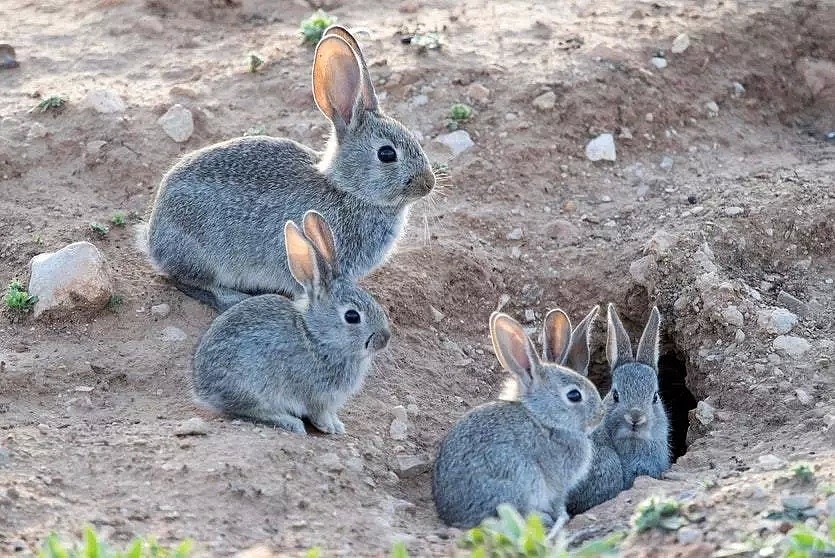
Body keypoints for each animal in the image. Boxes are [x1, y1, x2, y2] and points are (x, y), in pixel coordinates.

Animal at [140, 25, 434, 310]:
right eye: (386, 154)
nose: (428, 184)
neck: (346, 189)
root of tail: (153, 238)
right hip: (204, 255)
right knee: (186, 280)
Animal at [193, 212, 392, 436]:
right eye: (352, 316)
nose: (385, 339)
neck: (317, 337)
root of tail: (202, 388)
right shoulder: (317, 396)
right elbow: (319, 414)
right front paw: (329, 427)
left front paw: (338, 425)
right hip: (253, 387)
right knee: (248, 409)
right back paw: (290, 422)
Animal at [434, 310, 604, 532]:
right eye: (574, 395)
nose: (601, 414)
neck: (544, 419)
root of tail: (455, 517)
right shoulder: (559, 485)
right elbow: (558, 501)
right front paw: (563, 516)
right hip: (520, 477)